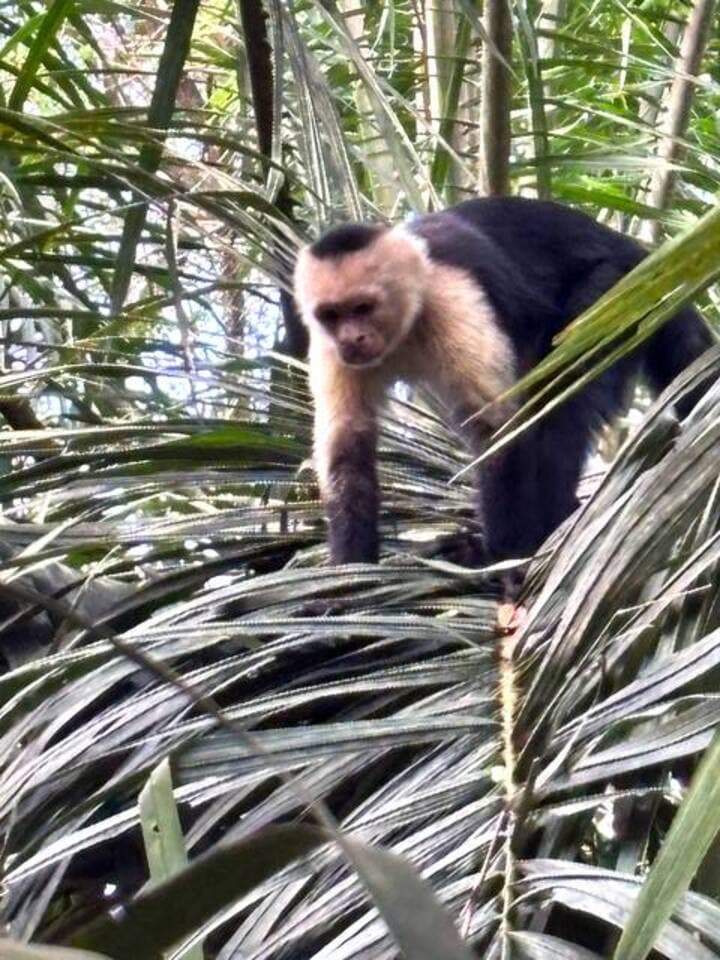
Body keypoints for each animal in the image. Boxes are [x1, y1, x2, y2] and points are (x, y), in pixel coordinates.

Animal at [293, 196, 714, 618]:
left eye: (363, 307)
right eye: (331, 315)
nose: (351, 339)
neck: (405, 324)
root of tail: (634, 249)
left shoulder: (449, 296)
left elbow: (495, 428)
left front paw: (505, 559)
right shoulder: (328, 347)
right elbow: (346, 449)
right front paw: (349, 578)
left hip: (614, 289)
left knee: (560, 395)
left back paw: (544, 529)